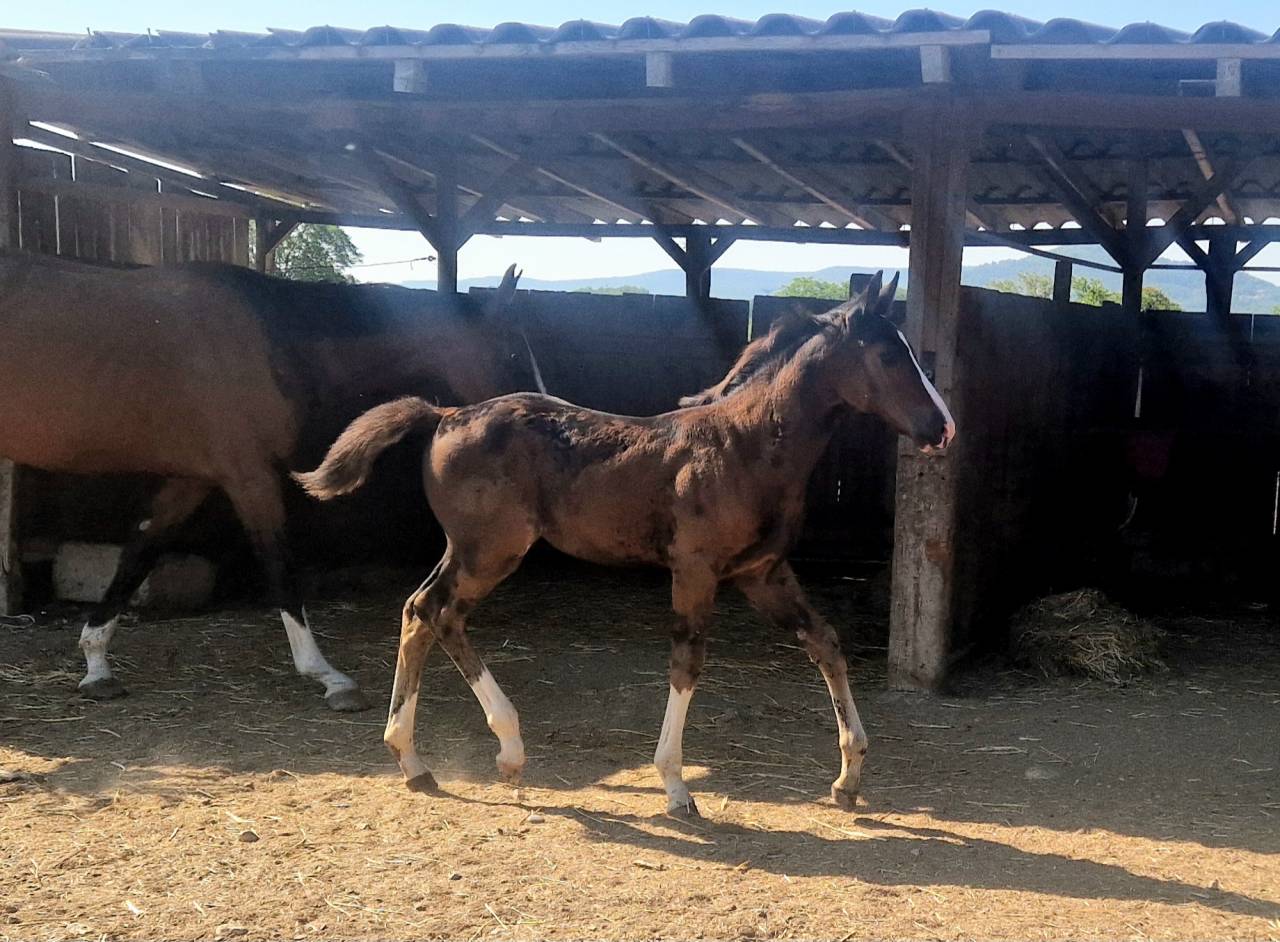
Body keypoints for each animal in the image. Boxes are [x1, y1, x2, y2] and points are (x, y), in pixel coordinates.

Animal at [0, 252, 541, 711]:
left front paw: (96, 664)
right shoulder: (250, 477)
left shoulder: (191, 480)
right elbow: (280, 568)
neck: (271, 338)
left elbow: (136, 556)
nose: (543, 415)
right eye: (515, 354)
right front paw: (328, 677)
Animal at [295, 270, 954, 812]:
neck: (746, 445)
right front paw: (676, 786)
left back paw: (417, 762)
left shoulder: (762, 572)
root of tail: (445, 414)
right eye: (889, 355)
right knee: (437, 612)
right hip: (490, 550)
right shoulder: (695, 570)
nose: (943, 428)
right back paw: (498, 748)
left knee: (422, 613)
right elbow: (686, 664)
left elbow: (825, 643)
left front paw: (849, 776)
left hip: (469, 548)